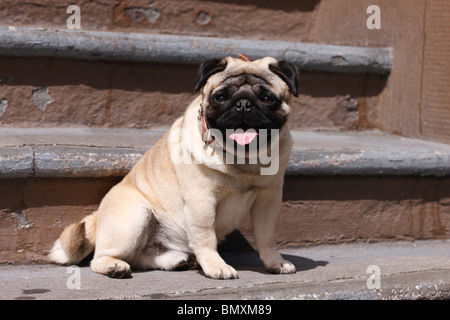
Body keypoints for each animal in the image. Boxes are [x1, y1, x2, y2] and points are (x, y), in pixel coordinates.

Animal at [50, 55, 298, 280]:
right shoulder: (201, 199)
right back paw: (115, 266)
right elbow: (206, 236)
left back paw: (179, 261)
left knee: (142, 257)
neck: (243, 159)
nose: (243, 104)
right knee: (100, 258)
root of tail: (98, 216)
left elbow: (266, 236)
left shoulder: (268, 199)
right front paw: (216, 266)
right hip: (134, 216)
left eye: (267, 99)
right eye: (220, 97)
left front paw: (275, 262)